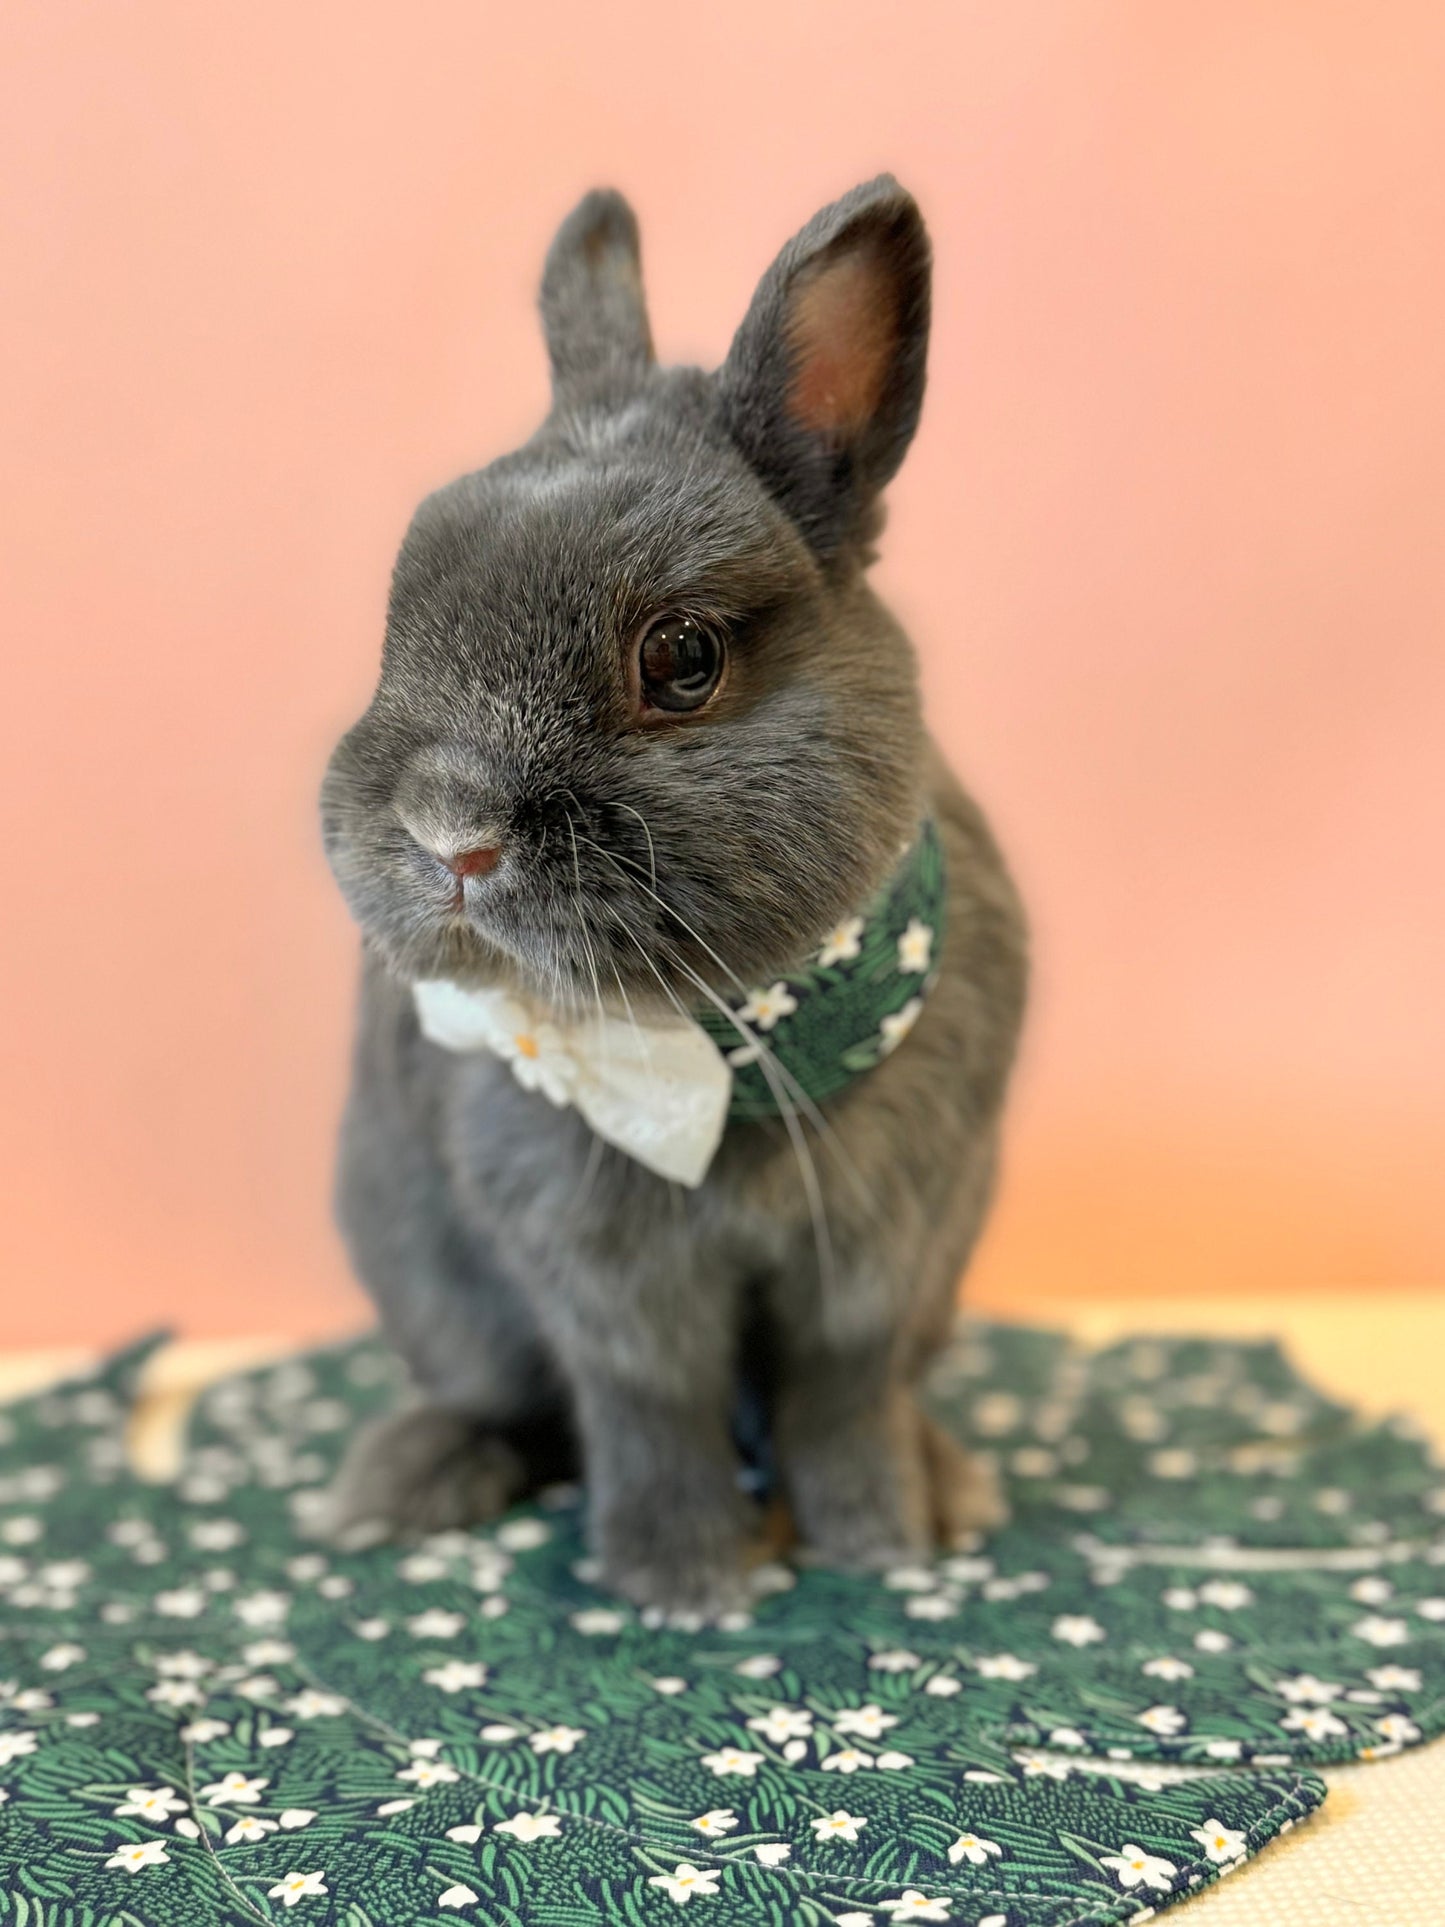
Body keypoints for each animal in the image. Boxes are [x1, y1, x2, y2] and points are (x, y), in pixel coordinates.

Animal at [315, 177, 1032, 1610]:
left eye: (683, 657)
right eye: (397, 617)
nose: (447, 833)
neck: (726, 1048)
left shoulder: (884, 1256)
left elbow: (841, 1399)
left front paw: (878, 1544)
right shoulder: (599, 1275)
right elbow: (648, 1406)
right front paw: (679, 1580)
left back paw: (952, 1482)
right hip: (428, 1282)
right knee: (498, 1401)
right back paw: (399, 1484)